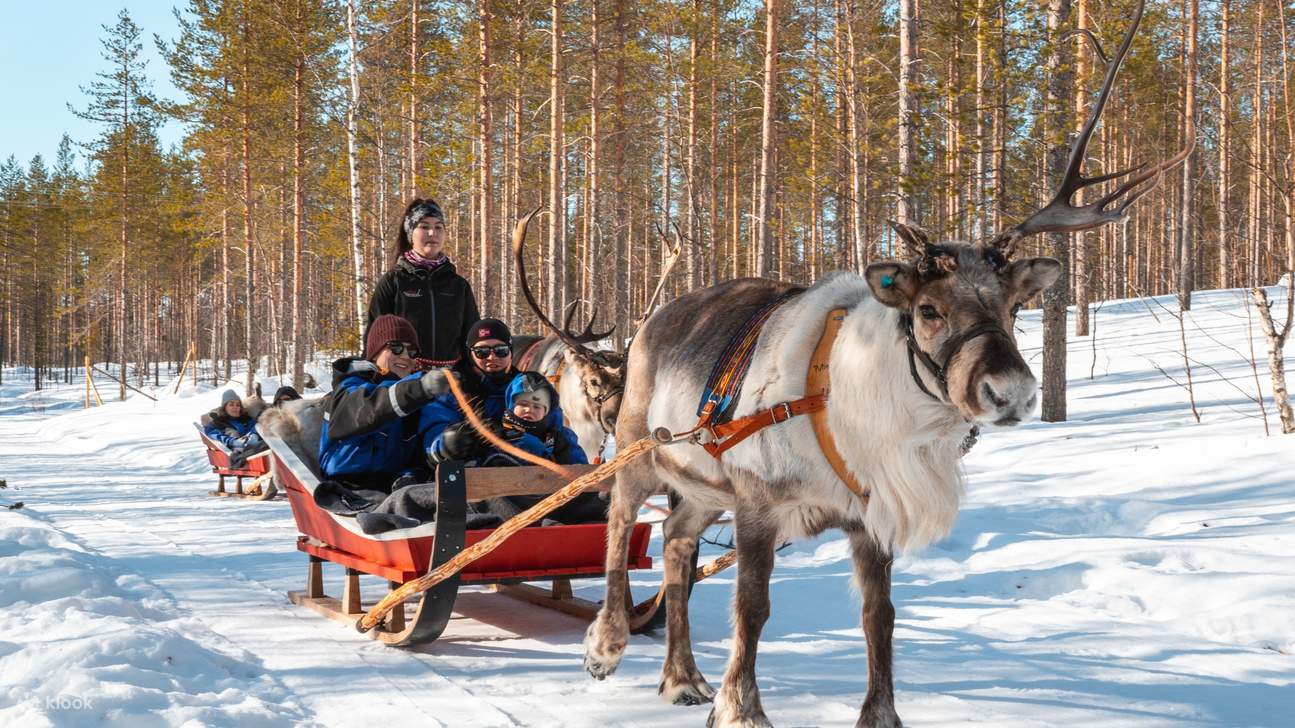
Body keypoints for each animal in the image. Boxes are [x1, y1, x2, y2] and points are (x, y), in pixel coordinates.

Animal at [578, 3, 1192, 726]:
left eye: (1015, 305)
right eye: (927, 309)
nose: (1009, 391)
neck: (860, 410)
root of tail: (652, 322)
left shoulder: (868, 519)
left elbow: (881, 616)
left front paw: (879, 714)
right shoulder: (757, 502)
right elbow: (752, 609)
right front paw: (742, 707)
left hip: (702, 487)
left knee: (674, 542)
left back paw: (680, 677)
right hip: (639, 447)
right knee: (620, 526)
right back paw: (606, 644)